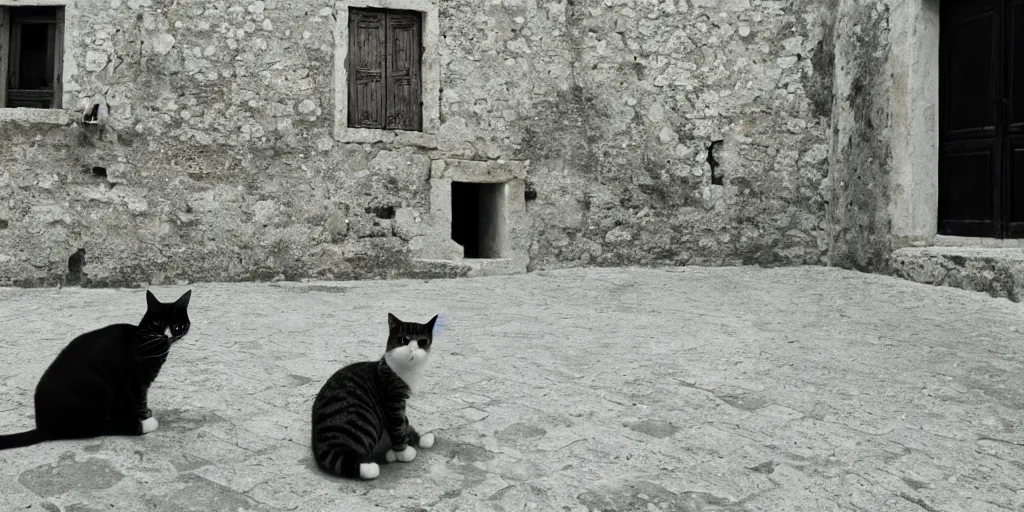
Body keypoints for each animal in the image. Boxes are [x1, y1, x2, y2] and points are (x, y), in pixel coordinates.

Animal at [0, 290, 193, 450]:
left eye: (178, 326)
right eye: (157, 323)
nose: (168, 335)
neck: (149, 343)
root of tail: (43, 426)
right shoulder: (135, 380)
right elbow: (140, 400)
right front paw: (144, 416)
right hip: (97, 389)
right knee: (93, 427)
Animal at [311, 311, 440, 479]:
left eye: (422, 342)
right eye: (404, 340)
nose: (412, 350)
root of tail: (324, 450)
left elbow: (405, 423)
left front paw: (419, 438)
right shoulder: (394, 402)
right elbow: (398, 426)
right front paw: (404, 452)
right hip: (367, 421)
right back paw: (370, 466)